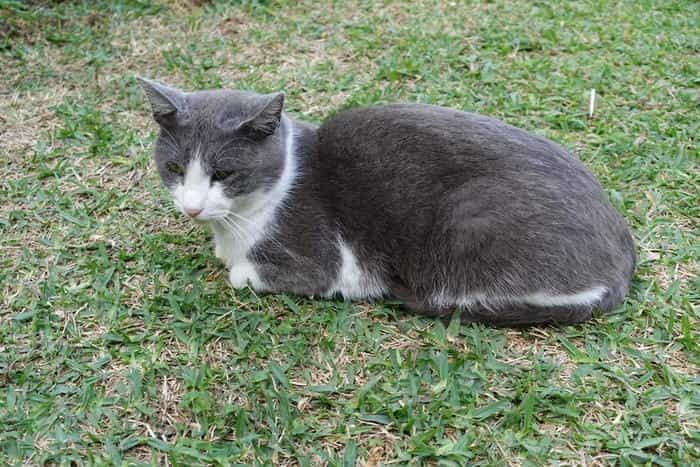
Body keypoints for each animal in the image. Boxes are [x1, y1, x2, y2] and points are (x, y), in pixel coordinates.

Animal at [135, 77, 636, 326]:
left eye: (223, 174)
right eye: (175, 168)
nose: (192, 207)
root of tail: (621, 266)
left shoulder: (324, 261)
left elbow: (244, 273)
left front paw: (235, 266)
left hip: (465, 226)